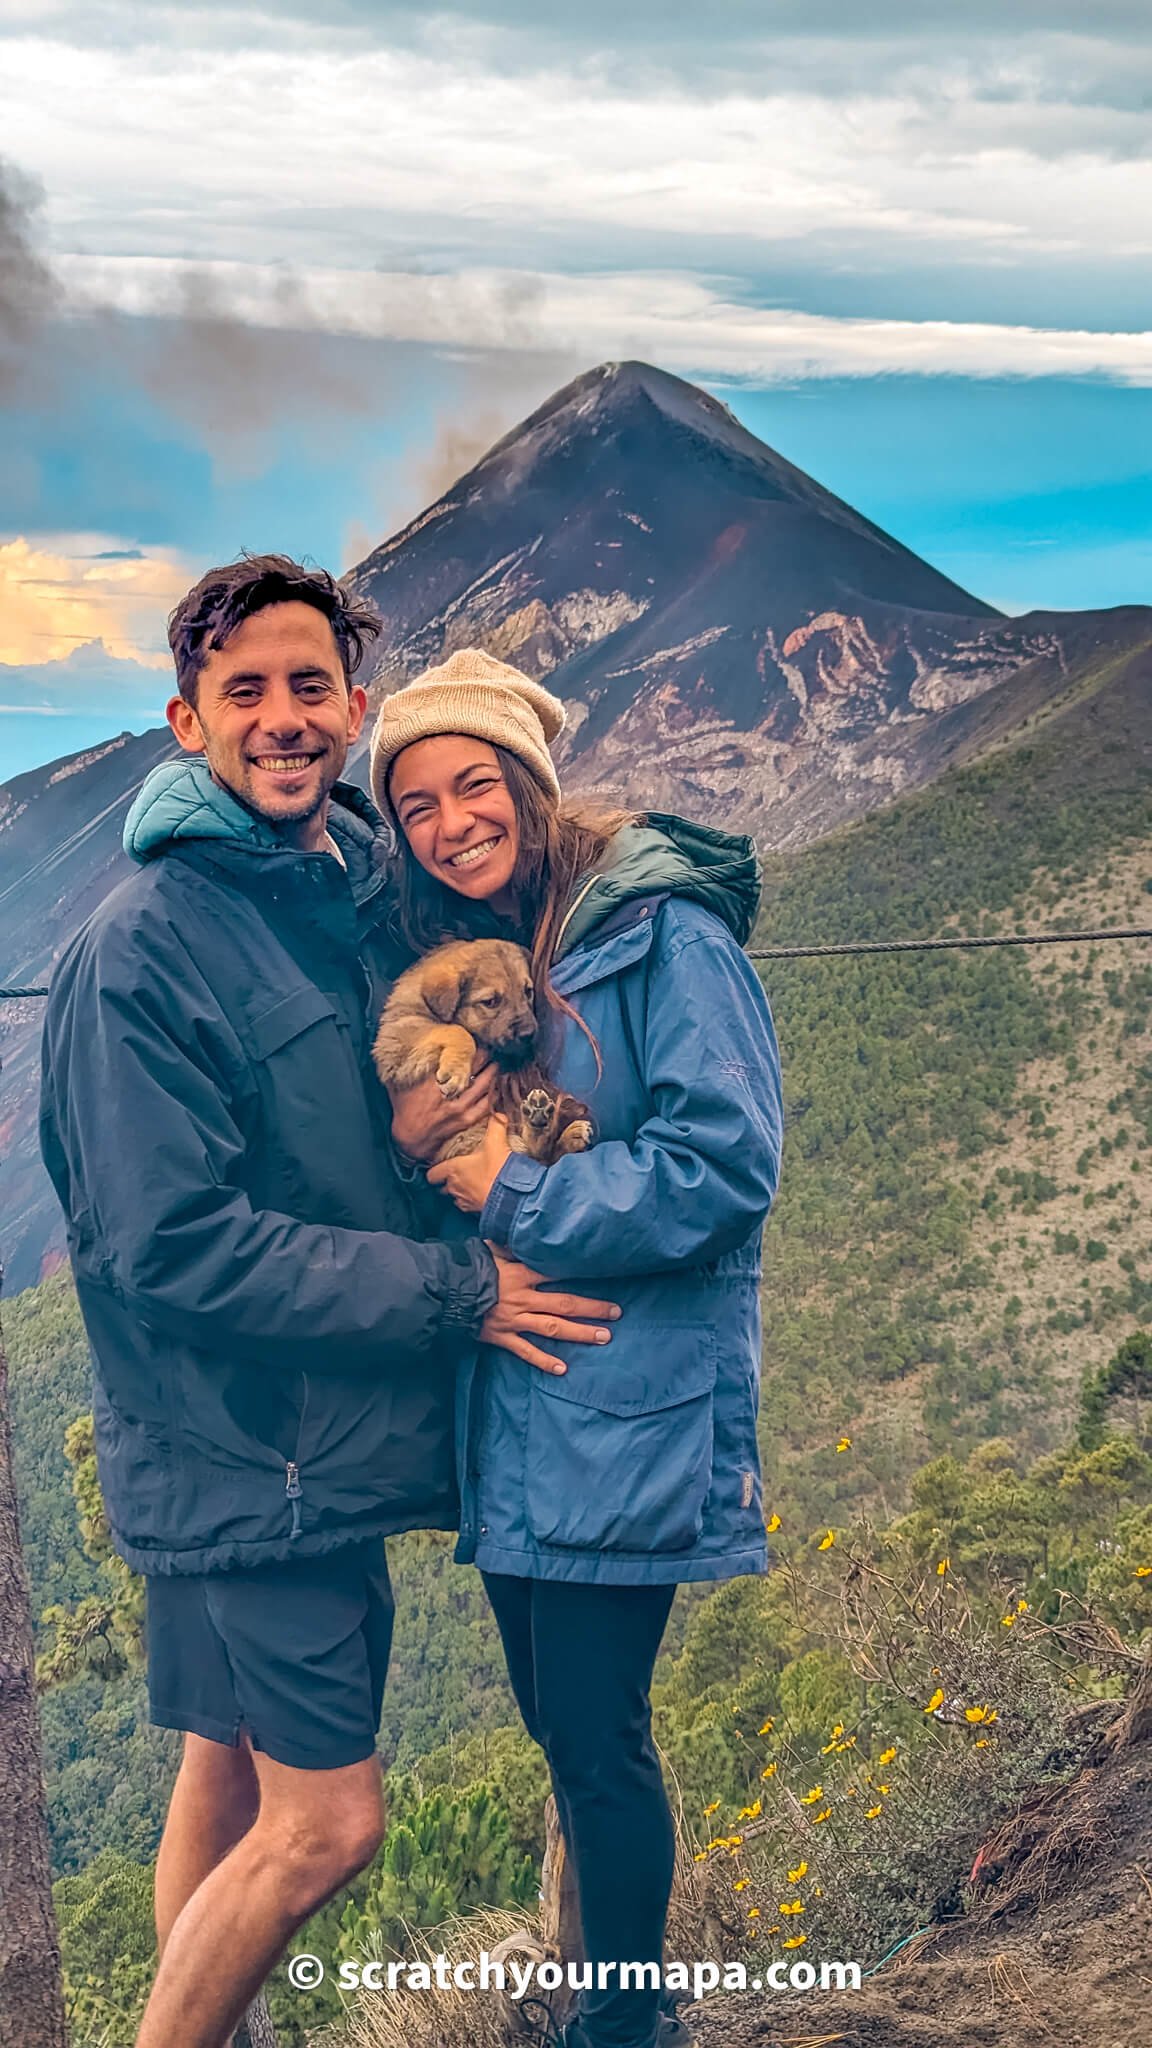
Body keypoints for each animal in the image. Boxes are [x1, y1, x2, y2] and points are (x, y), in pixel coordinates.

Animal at [375, 933, 590, 1163]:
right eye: (491, 1001)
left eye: (528, 991)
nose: (529, 1033)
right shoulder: (396, 1038)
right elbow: (455, 1030)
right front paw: (456, 1072)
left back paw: (554, 1126)